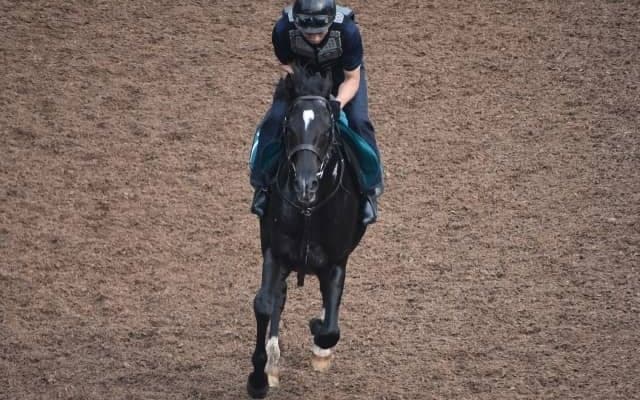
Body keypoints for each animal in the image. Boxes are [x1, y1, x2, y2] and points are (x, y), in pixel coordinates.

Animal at [247, 65, 367, 398]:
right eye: (288, 128)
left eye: (327, 131)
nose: (304, 185)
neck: (308, 211)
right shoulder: (275, 252)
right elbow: (265, 304)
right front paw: (259, 378)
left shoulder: (336, 262)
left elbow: (330, 328)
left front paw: (318, 337)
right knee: (278, 297)